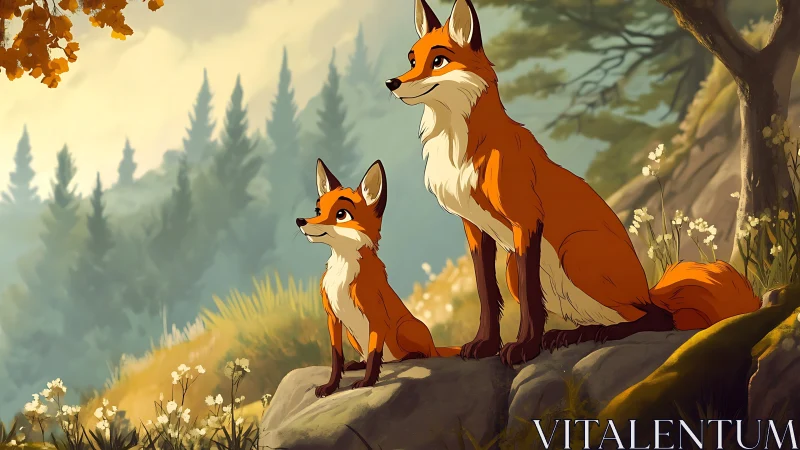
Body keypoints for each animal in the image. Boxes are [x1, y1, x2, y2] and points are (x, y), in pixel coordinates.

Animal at [296, 159, 461, 397]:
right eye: (317, 210)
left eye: (341, 214)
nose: (300, 220)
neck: (342, 273)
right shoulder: (332, 318)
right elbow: (337, 358)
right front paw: (331, 386)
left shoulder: (376, 316)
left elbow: (375, 354)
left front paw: (367, 382)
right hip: (353, 336)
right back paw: (357, 364)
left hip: (405, 328)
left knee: (424, 354)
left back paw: (412, 356)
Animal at [385, 0, 761, 366]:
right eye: (412, 59)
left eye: (438, 61)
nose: (392, 83)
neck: (460, 149)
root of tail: (647, 288)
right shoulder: (475, 229)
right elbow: (487, 295)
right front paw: (486, 344)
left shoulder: (525, 221)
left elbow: (529, 301)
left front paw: (524, 348)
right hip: (519, 268)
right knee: (605, 316)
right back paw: (571, 334)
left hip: (575, 254)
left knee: (655, 317)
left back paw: (600, 333)